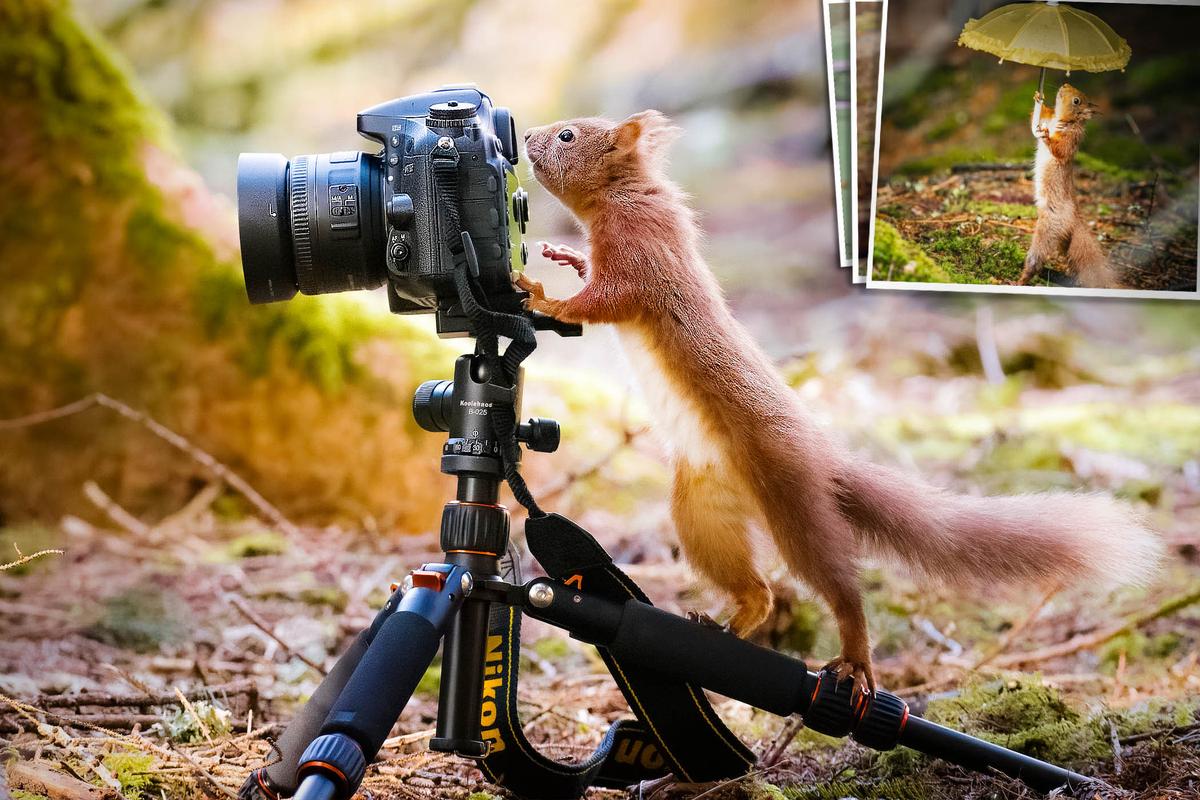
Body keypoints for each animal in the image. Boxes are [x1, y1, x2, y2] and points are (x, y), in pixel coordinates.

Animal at [517, 110, 1160, 695]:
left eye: (568, 134)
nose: (524, 134)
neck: (624, 197)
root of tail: (827, 460)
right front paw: (565, 257)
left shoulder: (641, 257)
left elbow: (604, 299)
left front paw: (546, 296)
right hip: (703, 506)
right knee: (758, 589)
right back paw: (735, 619)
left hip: (795, 505)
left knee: (839, 587)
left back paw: (855, 661)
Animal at [1018, 83, 1121, 288]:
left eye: (1076, 101)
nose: (1065, 85)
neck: (1062, 120)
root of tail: (1074, 218)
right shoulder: (1047, 119)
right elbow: (1037, 117)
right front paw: (1038, 97)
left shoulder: (1071, 139)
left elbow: (1061, 150)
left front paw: (1047, 137)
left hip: (1048, 229)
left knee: (1036, 260)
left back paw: (1019, 279)